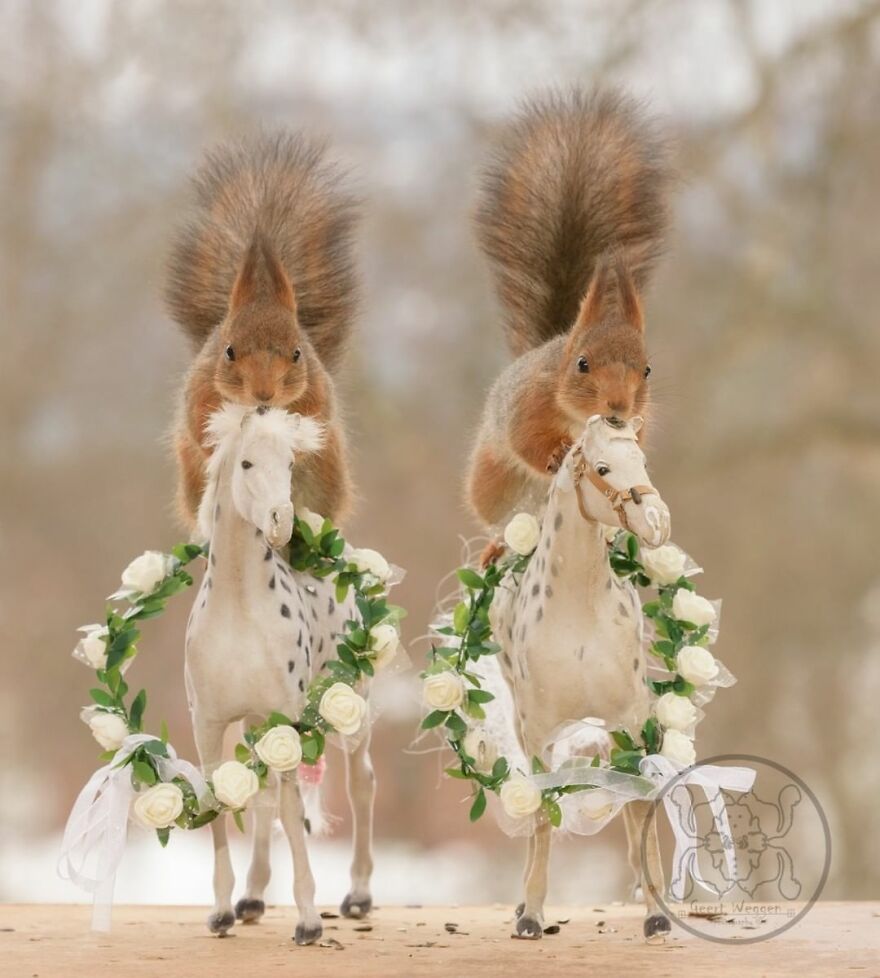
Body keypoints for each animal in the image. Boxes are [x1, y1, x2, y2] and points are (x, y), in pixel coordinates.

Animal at [166, 132, 359, 531]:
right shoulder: (201, 388)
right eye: (228, 351)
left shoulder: (317, 390)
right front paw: (222, 446)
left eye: (298, 352)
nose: (264, 392)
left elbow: (317, 418)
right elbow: (199, 424)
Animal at [466, 89, 674, 527]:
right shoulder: (531, 401)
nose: (618, 408)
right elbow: (526, 439)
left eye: (647, 370)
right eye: (582, 364)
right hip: (494, 476)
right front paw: (556, 452)